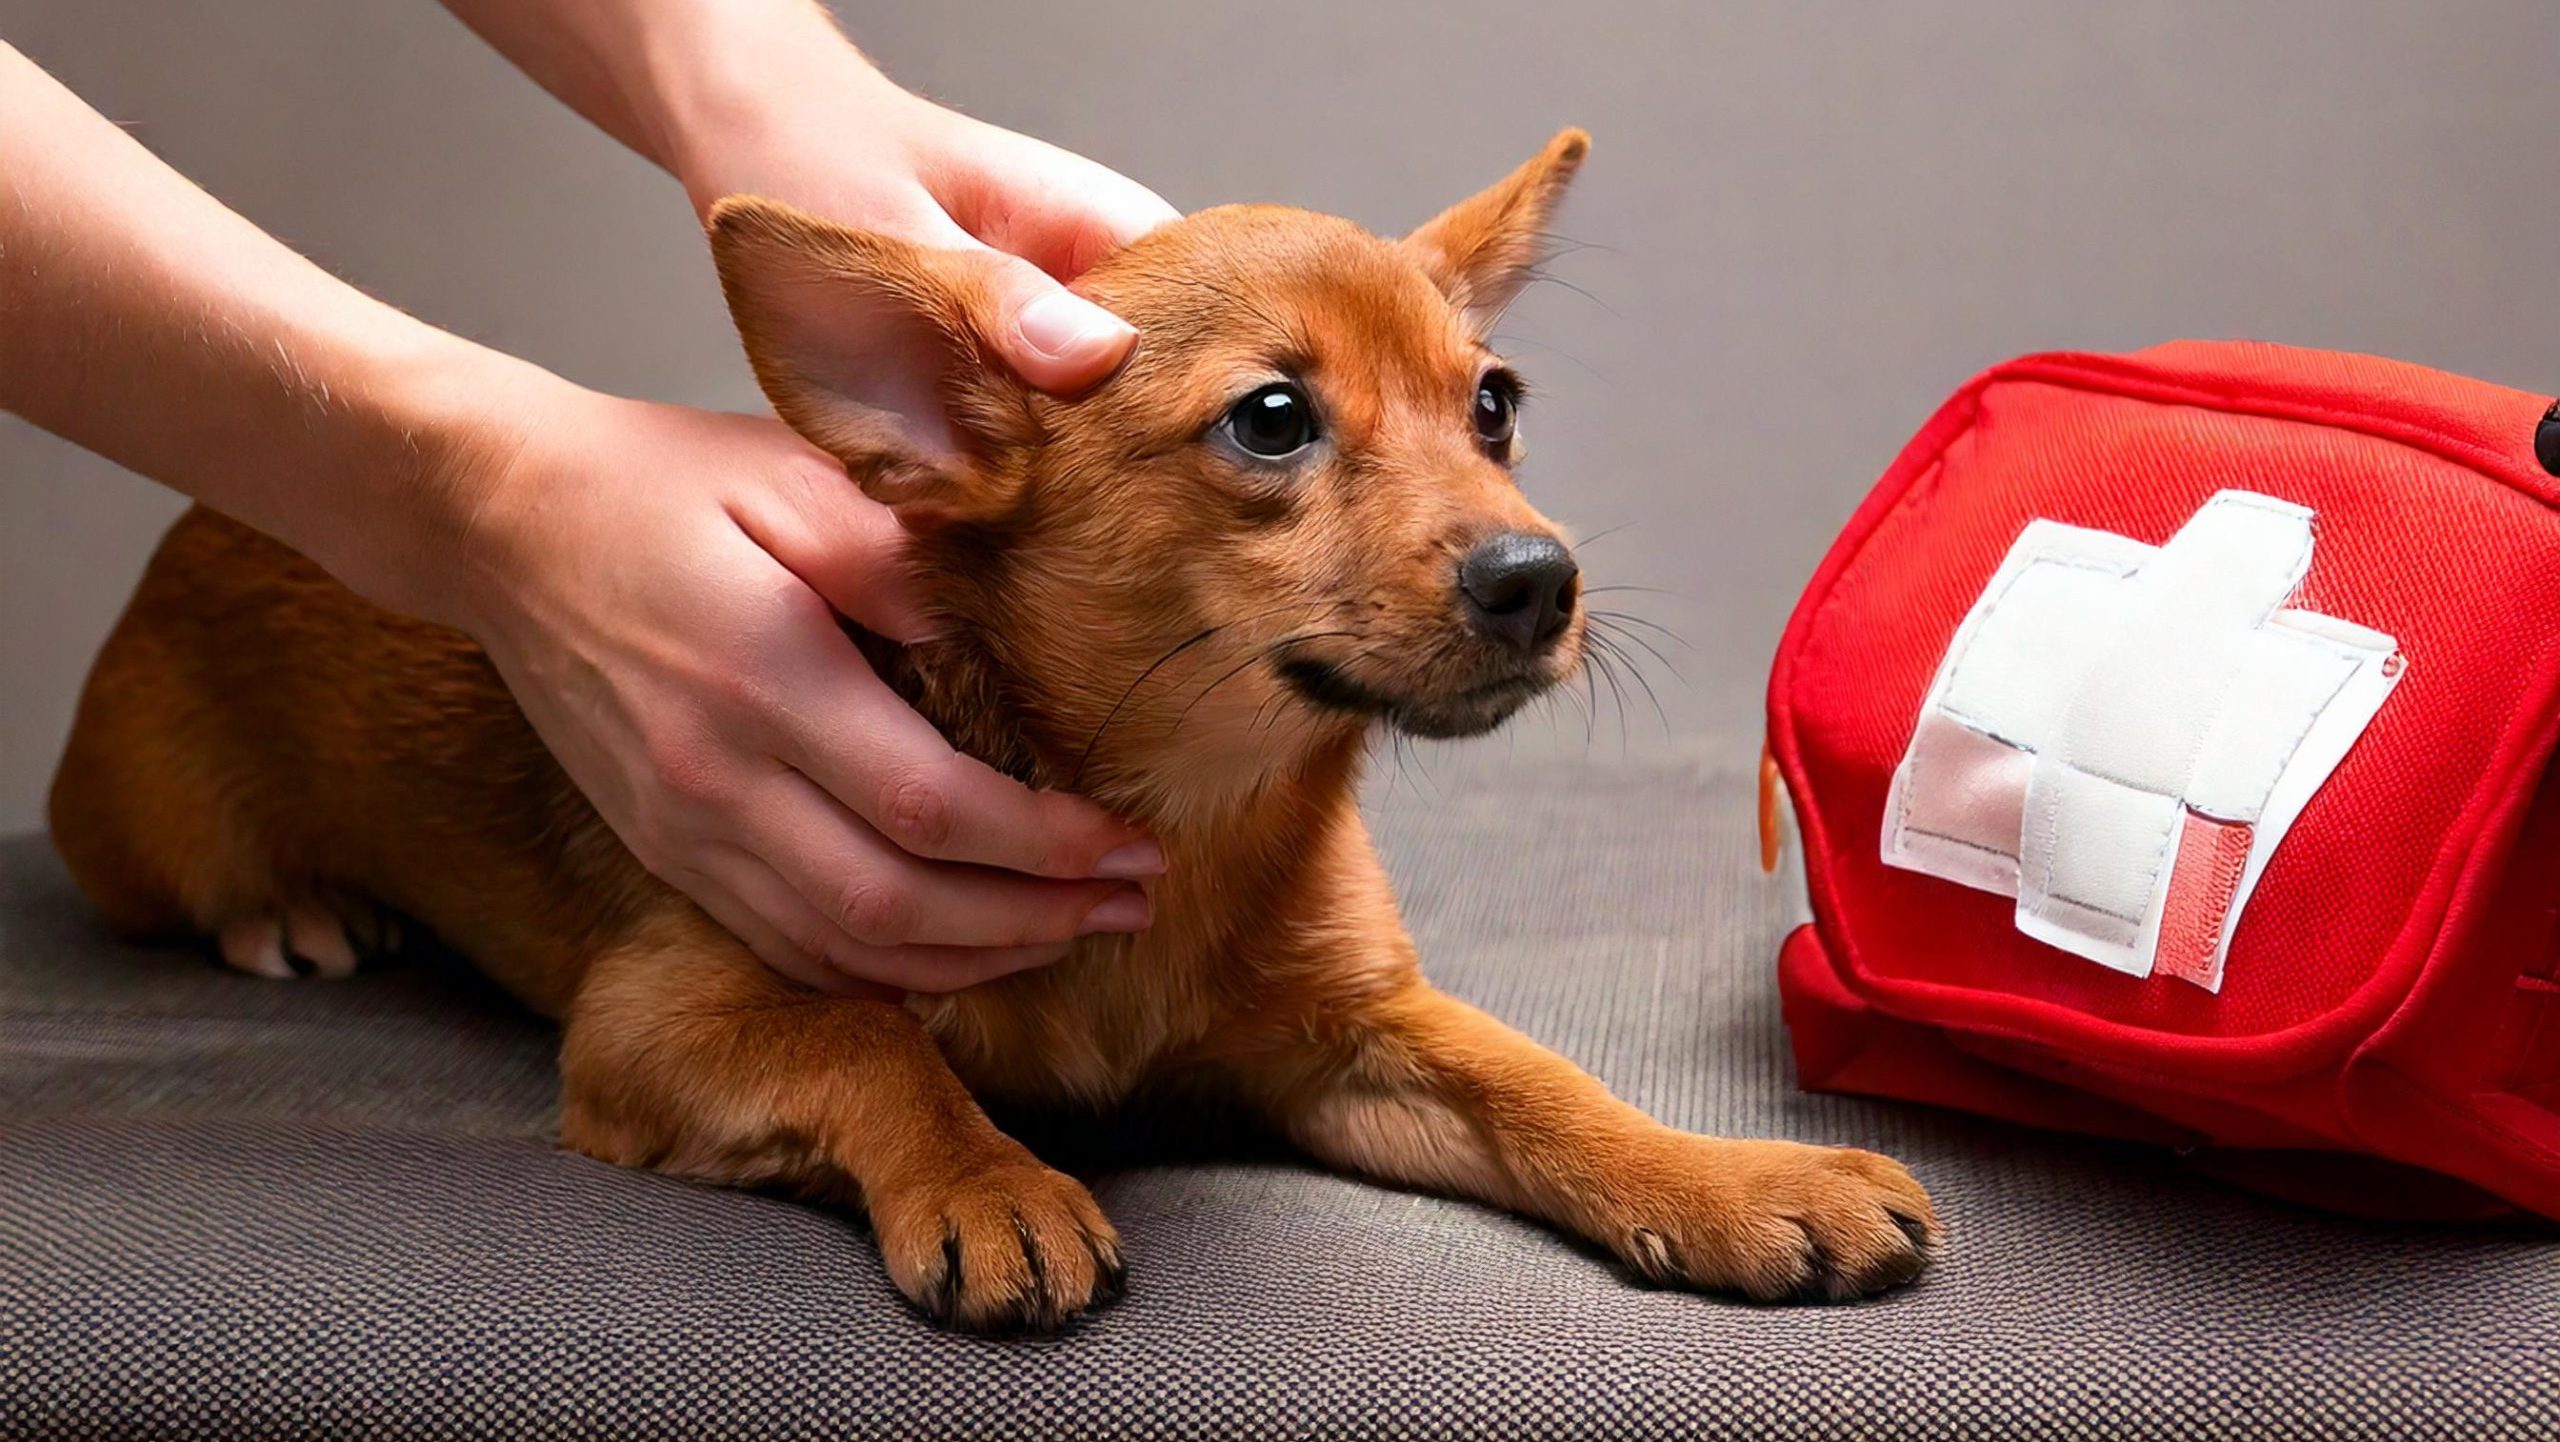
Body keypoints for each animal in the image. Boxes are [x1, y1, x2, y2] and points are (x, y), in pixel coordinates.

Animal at [45, 132, 1935, 1331]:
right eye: (1270, 419)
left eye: (1496, 405)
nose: (1539, 579)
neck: (1191, 815)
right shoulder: (663, 1020)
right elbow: (873, 1051)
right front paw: (987, 1177)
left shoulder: (1357, 1040)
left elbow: (1542, 1083)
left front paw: (1732, 1179)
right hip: (149, 824)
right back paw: (292, 910)